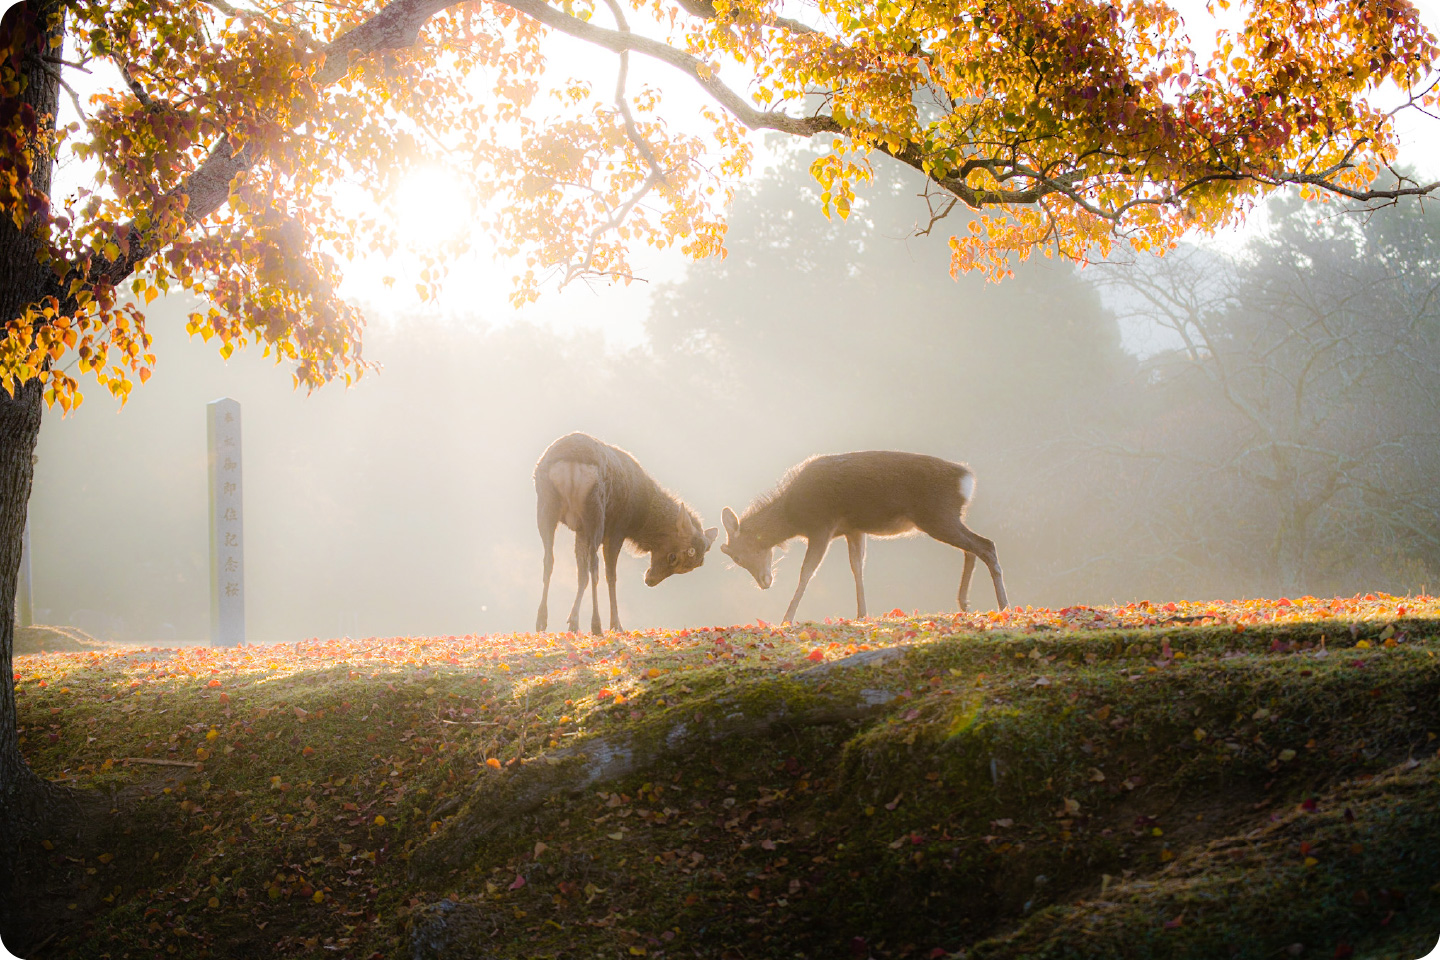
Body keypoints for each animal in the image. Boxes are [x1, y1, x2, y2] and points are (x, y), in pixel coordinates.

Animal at [532, 431, 717, 633]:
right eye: (673, 556)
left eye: (690, 567)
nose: (650, 580)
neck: (638, 517)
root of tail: (572, 461)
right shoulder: (617, 530)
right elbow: (611, 576)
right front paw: (616, 625)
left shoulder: (580, 530)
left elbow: (581, 575)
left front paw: (573, 622)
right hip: (595, 512)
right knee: (594, 565)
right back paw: (596, 625)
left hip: (546, 505)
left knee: (549, 560)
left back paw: (541, 620)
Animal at [720, 451, 1013, 624]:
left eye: (738, 555)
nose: (764, 582)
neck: (793, 518)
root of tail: (967, 480)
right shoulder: (853, 529)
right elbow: (857, 567)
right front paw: (862, 614)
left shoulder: (822, 526)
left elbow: (807, 572)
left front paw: (786, 619)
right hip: (947, 517)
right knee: (972, 549)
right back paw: (965, 603)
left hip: (937, 515)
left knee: (986, 545)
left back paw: (1004, 606)